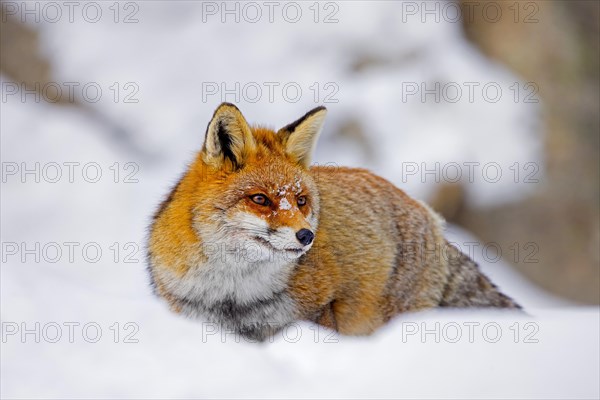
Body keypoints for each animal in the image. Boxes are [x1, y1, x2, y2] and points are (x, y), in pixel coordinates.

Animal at [146, 103, 520, 340]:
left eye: (301, 201)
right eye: (260, 199)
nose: (306, 235)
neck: (234, 294)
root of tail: (431, 216)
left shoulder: (315, 315)